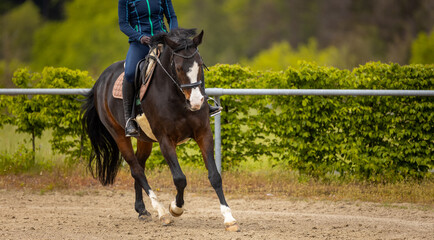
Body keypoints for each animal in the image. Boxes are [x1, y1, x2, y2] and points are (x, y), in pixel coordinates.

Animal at [81, 28, 241, 232]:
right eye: (179, 68)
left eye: (200, 65)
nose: (196, 102)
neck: (178, 98)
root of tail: (101, 79)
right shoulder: (165, 140)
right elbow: (180, 178)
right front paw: (175, 208)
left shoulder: (203, 134)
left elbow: (215, 176)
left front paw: (229, 218)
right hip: (119, 135)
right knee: (136, 170)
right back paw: (161, 212)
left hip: (144, 139)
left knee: (139, 166)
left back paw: (142, 210)